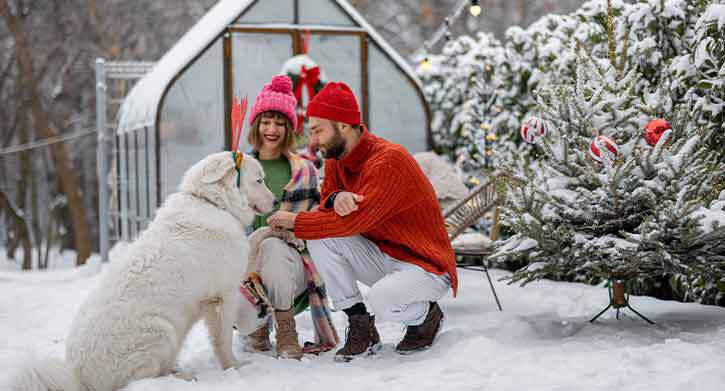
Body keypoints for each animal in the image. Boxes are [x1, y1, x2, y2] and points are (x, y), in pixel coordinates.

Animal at [11, 152, 278, 391]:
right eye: (259, 180)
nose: (277, 201)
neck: (212, 203)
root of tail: (78, 378)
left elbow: (254, 238)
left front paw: (278, 226)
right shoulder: (223, 296)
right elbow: (222, 340)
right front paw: (235, 367)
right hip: (162, 331)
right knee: (143, 379)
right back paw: (183, 378)